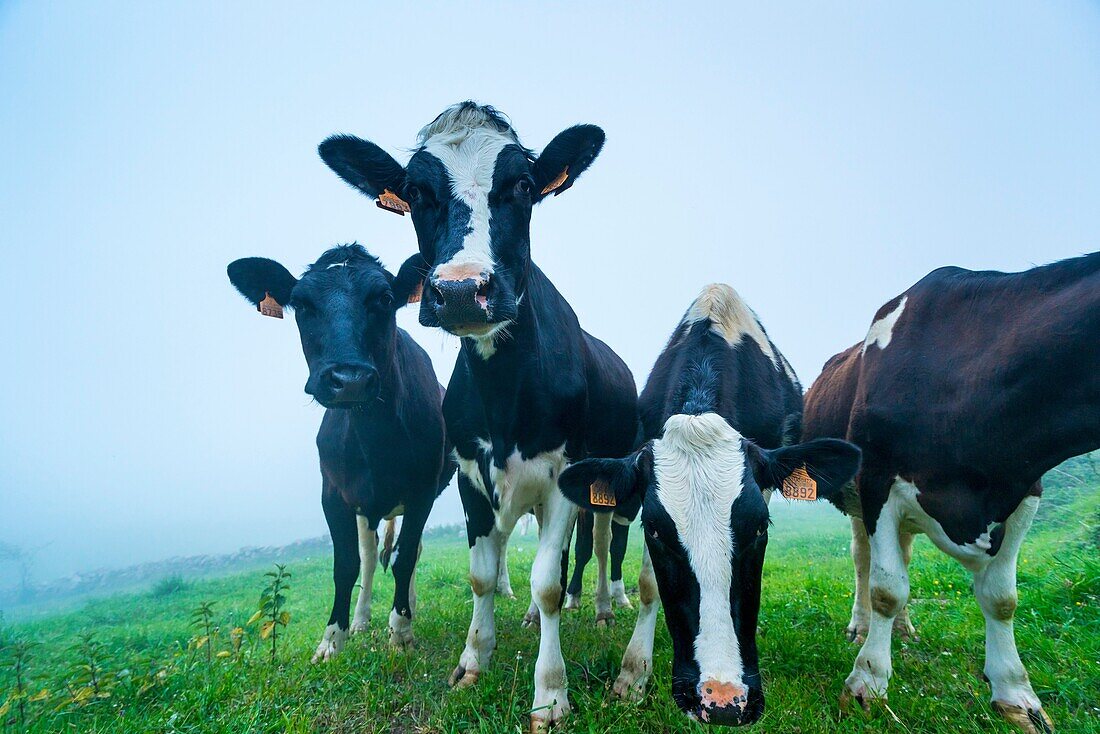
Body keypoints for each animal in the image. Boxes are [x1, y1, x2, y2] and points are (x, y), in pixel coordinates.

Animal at [227, 245, 455, 660]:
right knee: (370, 556)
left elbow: (404, 560)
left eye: (384, 299)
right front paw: (333, 640)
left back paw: (406, 609)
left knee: (410, 552)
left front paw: (401, 633)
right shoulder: (333, 494)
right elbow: (346, 565)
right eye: (302, 304)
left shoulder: (422, 491)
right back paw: (363, 619)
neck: (376, 438)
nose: (349, 380)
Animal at [314, 101, 642, 730]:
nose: (464, 291)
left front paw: (550, 693)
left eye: (523, 186)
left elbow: (546, 581)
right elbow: (481, 575)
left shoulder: (562, 476)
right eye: (416, 192)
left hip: (610, 480)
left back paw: (605, 605)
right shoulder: (470, 474)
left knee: (603, 541)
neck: (503, 393)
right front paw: (474, 660)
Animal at [800, 249, 1100, 730]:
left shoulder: (1024, 490)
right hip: (857, 495)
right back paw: (862, 627)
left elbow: (1002, 598)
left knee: (892, 557)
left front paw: (1016, 695)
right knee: (865, 562)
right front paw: (867, 684)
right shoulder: (878, 482)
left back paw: (900, 629)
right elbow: (887, 588)